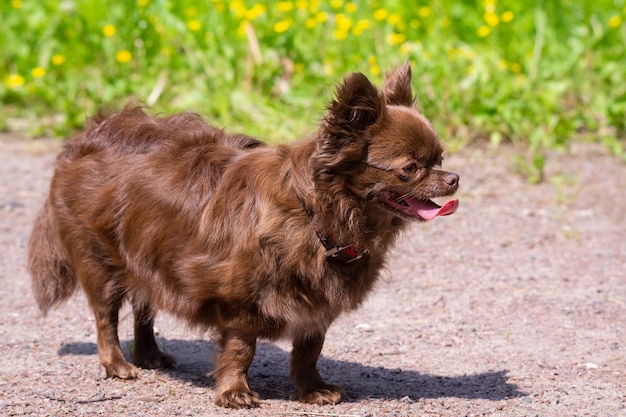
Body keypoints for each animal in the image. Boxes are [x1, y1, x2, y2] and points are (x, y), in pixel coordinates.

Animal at [28, 63, 458, 408]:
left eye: (439, 159)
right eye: (409, 169)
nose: (453, 178)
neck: (317, 214)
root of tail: (88, 137)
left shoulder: (315, 307)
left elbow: (309, 351)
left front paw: (312, 390)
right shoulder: (242, 303)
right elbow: (240, 350)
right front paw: (234, 392)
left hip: (148, 256)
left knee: (144, 306)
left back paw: (149, 354)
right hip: (101, 262)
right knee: (106, 317)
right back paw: (117, 364)